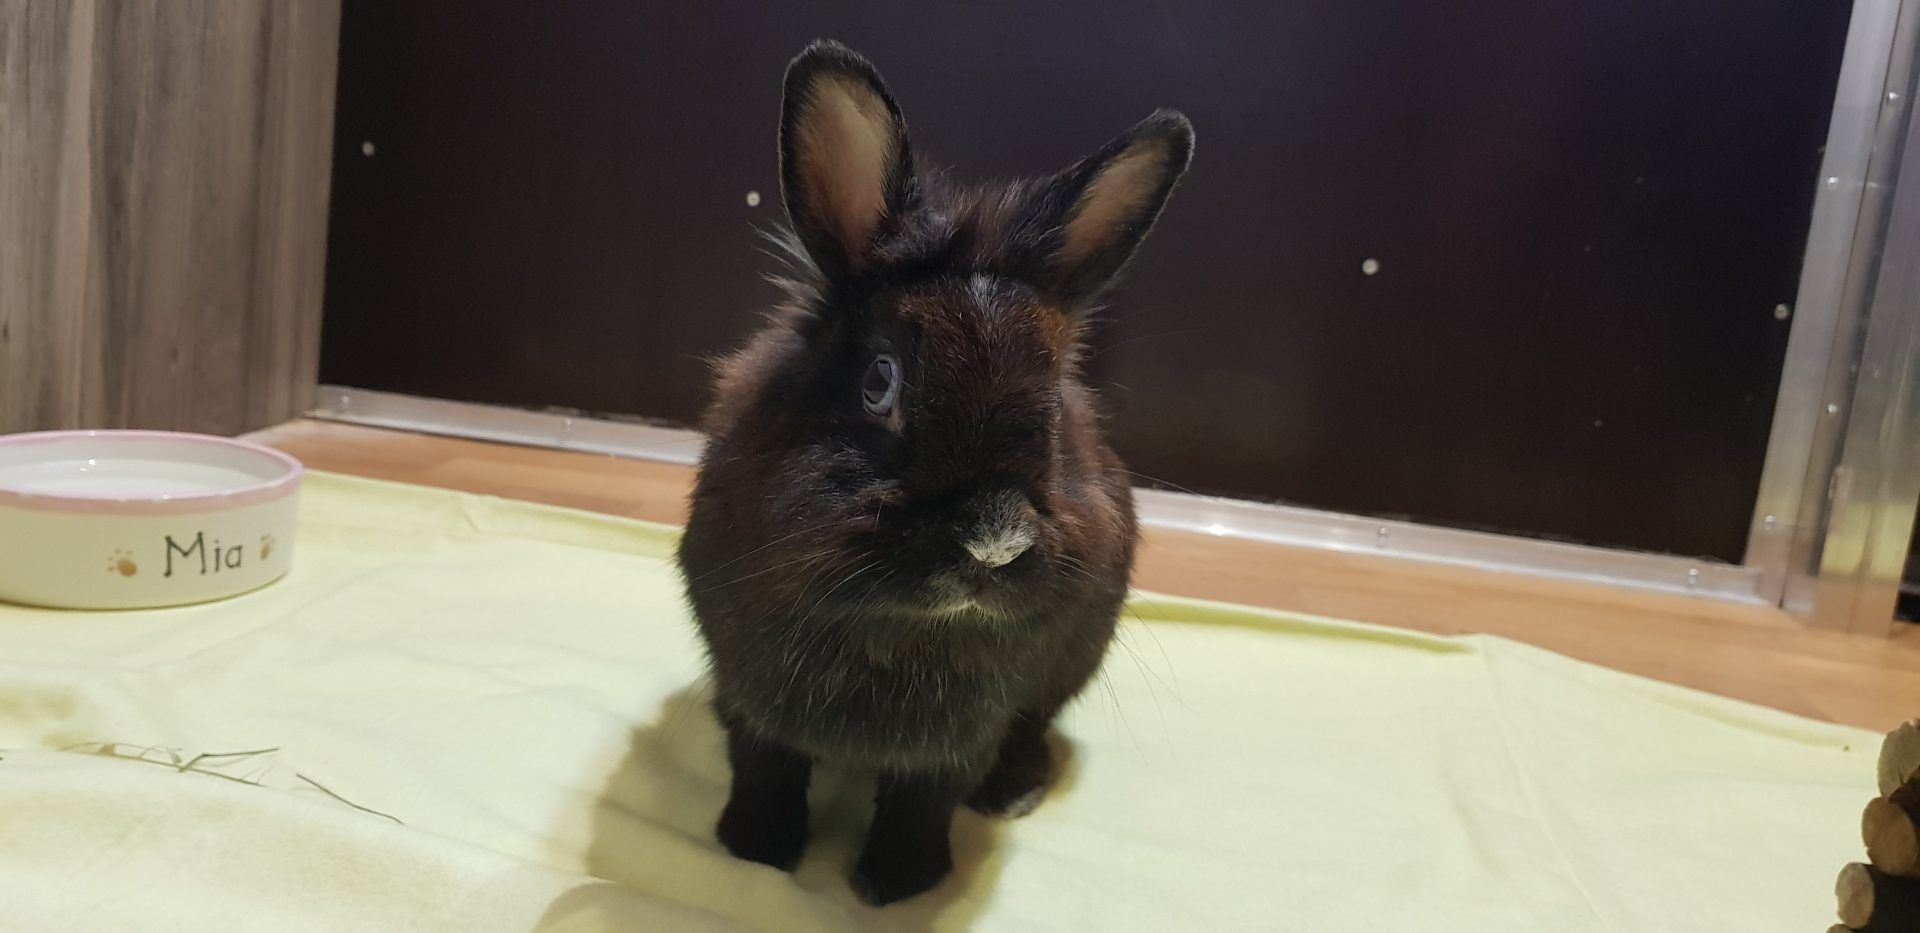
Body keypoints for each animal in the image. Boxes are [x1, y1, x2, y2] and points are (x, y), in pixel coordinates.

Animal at [677, 39, 1192, 906]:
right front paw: (753, 852)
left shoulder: (965, 732)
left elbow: (924, 799)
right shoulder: (753, 697)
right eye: (879, 382)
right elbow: (764, 768)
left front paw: (896, 886)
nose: (994, 543)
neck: (898, 630)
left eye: (1055, 405)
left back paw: (1013, 791)